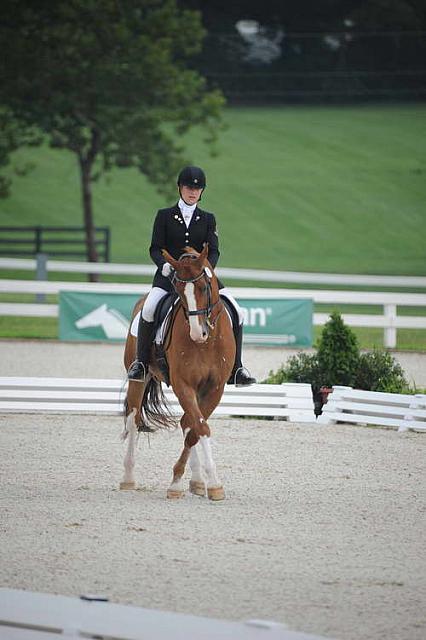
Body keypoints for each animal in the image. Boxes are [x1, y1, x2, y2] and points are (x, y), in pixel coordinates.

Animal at [121, 245, 235, 500]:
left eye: (204, 287)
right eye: (179, 291)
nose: (197, 333)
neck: (206, 344)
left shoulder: (215, 388)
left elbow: (195, 428)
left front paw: (187, 482)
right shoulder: (184, 384)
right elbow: (200, 426)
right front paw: (213, 484)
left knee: (186, 422)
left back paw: (196, 481)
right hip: (138, 377)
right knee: (133, 419)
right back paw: (128, 479)